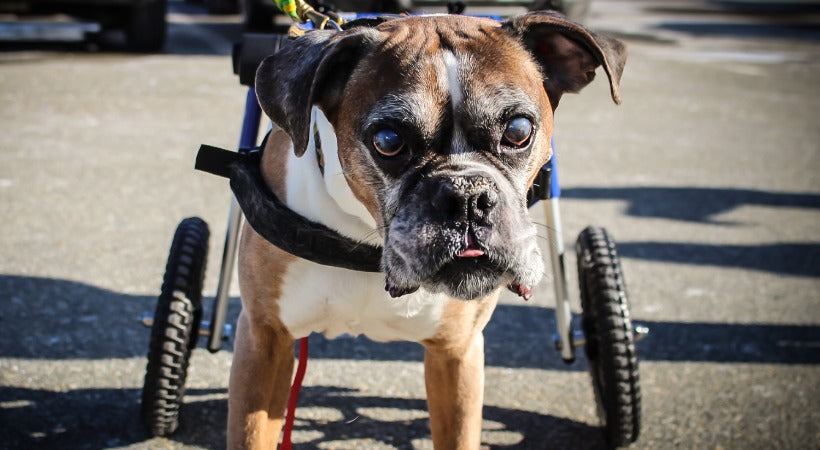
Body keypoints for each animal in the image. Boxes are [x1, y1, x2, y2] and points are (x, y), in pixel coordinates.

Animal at [227, 11, 624, 450]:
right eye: (388, 140)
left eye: (519, 131)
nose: (466, 195)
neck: (370, 240)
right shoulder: (264, 343)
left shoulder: (456, 355)